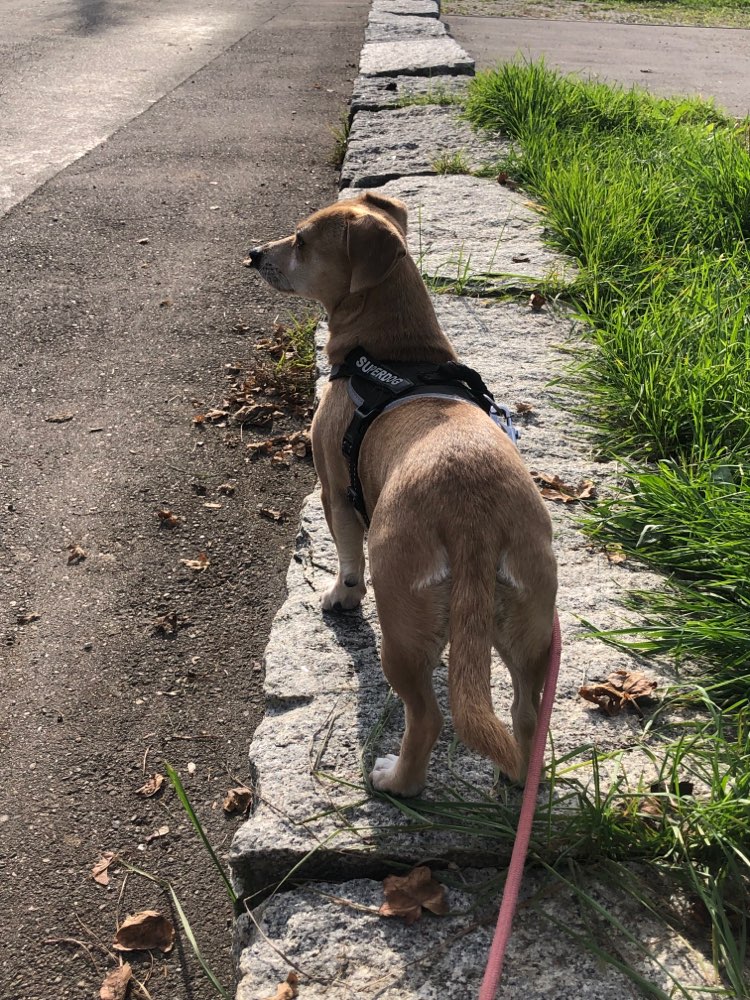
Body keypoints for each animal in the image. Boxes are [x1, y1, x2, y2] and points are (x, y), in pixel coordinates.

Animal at [247, 189, 560, 796]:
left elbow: (347, 557)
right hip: (531, 629)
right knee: (526, 715)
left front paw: (340, 597)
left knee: (428, 718)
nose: (253, 254)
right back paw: (516, 777)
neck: (398, 354)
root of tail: (473, 522)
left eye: (301, 241)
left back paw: (395, 781)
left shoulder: (334, 489)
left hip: (402, 624)